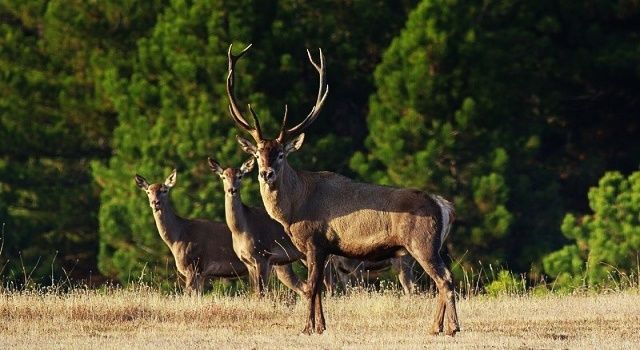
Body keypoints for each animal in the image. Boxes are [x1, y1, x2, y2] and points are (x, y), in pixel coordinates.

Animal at [206, 156, 304, 296]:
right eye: (223, 176)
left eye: (240, 176)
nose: (232, 190)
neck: (241, 230)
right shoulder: (248, 262)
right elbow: (254, 292)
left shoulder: (262, 256)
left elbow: (261, 293)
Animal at [225, 44, 460, 336]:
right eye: (258, 154)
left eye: (280, 154)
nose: (265, 173)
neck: (294, 210)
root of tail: (444, 206)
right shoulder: (325, 249)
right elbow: (319, 289)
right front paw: (321, 326)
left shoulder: (315, 241)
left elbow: (311, 287)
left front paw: (307, 327)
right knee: (443, 279)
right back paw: (437, 327)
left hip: (422, 243)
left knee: (445, 279)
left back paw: (451, 327)